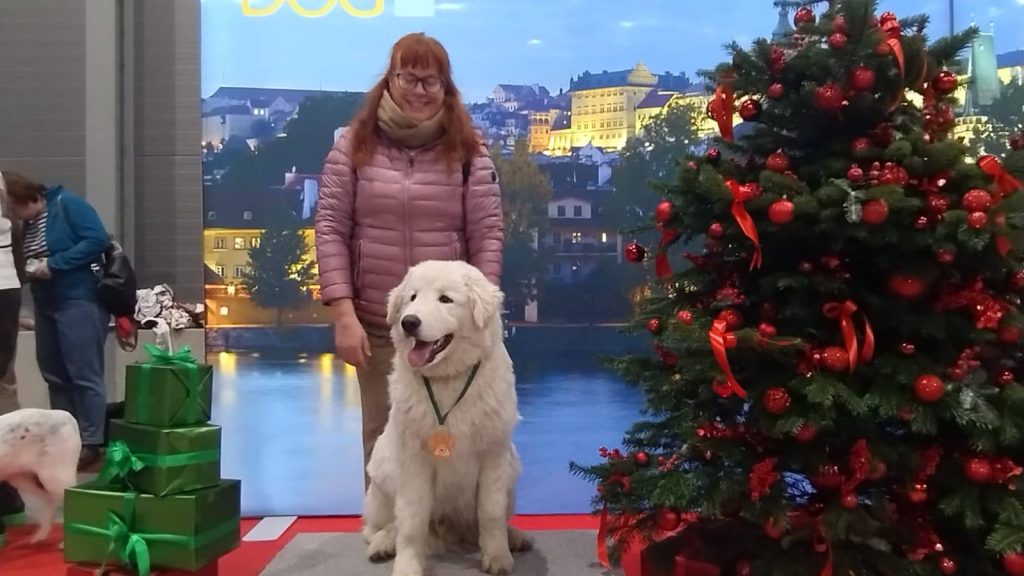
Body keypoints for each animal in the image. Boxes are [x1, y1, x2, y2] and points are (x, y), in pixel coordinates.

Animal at [362, 260, 532, 576]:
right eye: (412, 298)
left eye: (445, 299)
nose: (409, 322)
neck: (449, 380)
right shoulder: (414, 461)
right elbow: (411, 521)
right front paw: (407, 566)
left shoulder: (493, 454)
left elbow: (490, 513)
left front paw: (497, 557)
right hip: (381, 471)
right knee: (378, 526)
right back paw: (383, 543)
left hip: (512, 468)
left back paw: (514, 536)